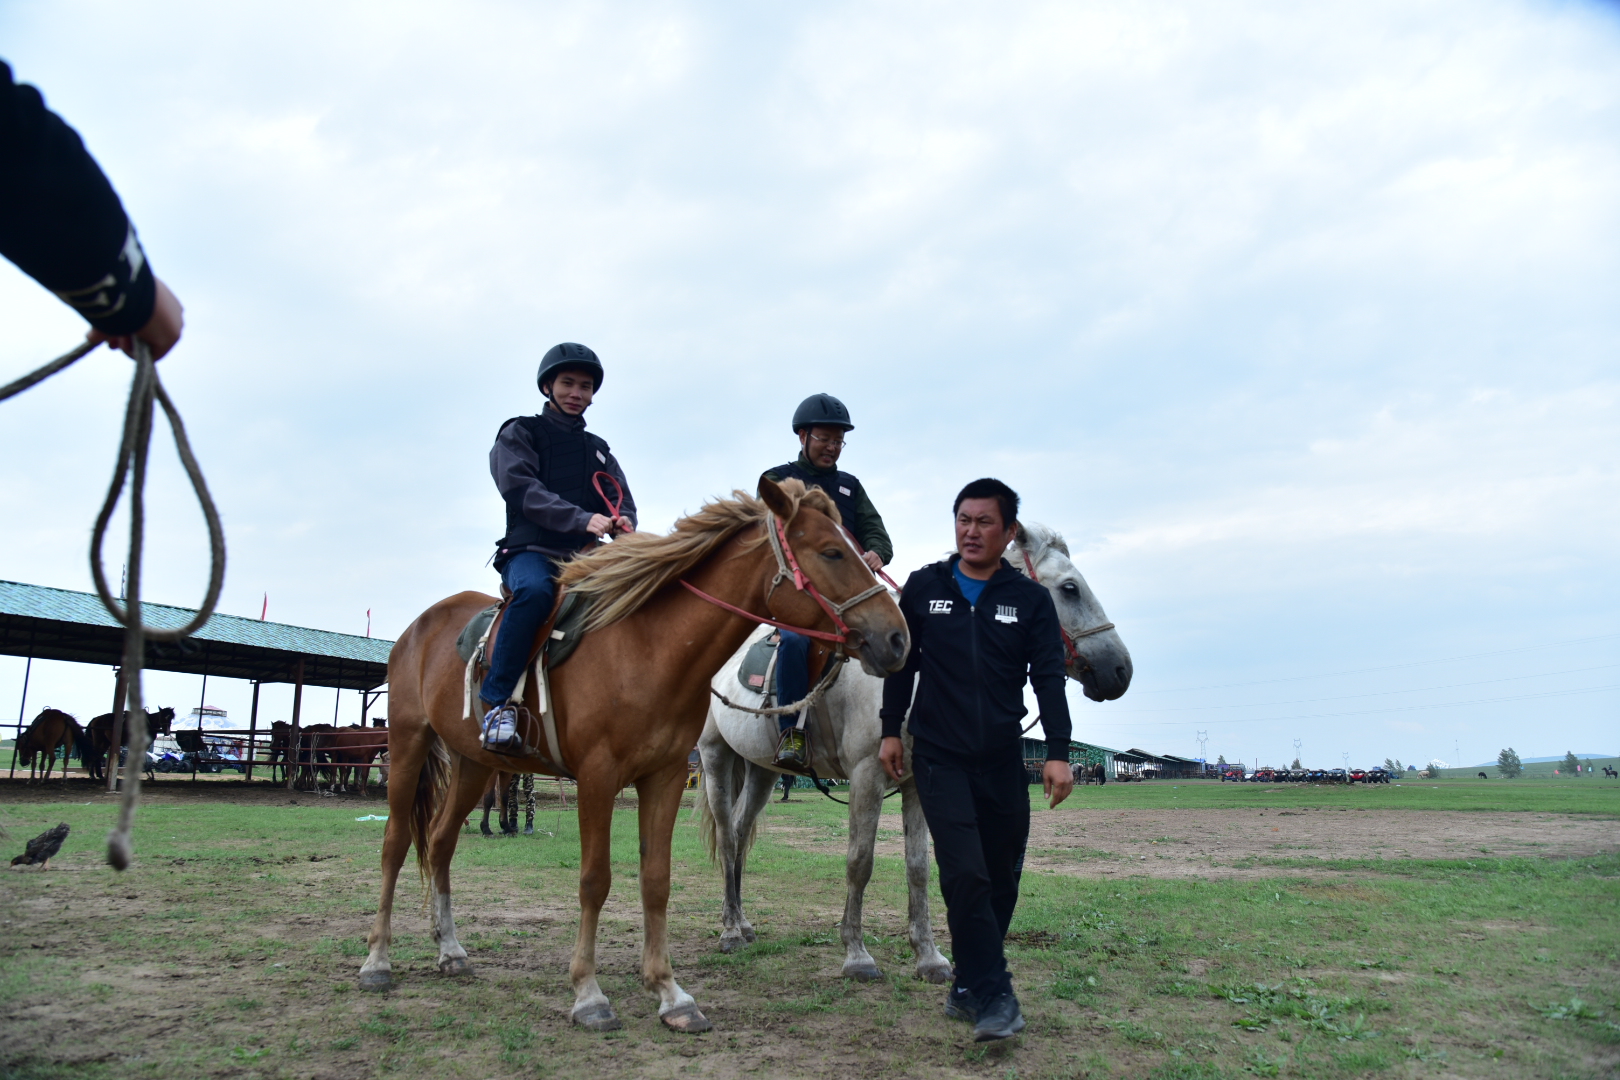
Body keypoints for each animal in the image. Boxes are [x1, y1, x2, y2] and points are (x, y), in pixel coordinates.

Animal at [358, 476, 913, 1036]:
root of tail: (418, 627)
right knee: (395, 844)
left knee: (440, 842)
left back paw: (449, 950)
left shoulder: (663, 777)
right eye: (830, 551)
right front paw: (588, 994)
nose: (897, 638)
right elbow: (594, 880)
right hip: (408, 744)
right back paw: (377, 961)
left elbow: (656, 881)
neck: (648, 649)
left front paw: (670, 993)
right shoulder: (598, 778)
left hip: (476, 764)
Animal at [699, 524, 1140, 990]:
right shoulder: (866, 776)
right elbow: (860, 861)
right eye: (1070, 588)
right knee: (727, 836)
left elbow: (919, 868)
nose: (1121, 670)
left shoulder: (916, 782)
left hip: (762, 771)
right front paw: (856, 955)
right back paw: (730, 931)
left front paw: (928, 957)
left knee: (741, 833)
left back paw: (743, 921)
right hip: (715, 758)